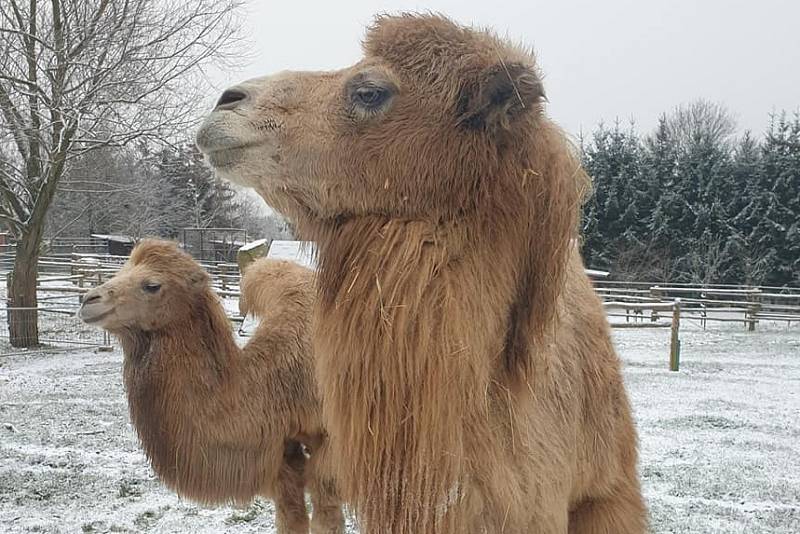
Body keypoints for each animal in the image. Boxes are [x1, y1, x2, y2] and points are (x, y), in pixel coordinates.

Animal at [76, 243, 346, 534]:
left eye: (152, 285)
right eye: (122, 269)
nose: (89, 300)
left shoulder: (332, 446)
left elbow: (327, 515)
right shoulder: (280, 452)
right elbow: (290, 515)